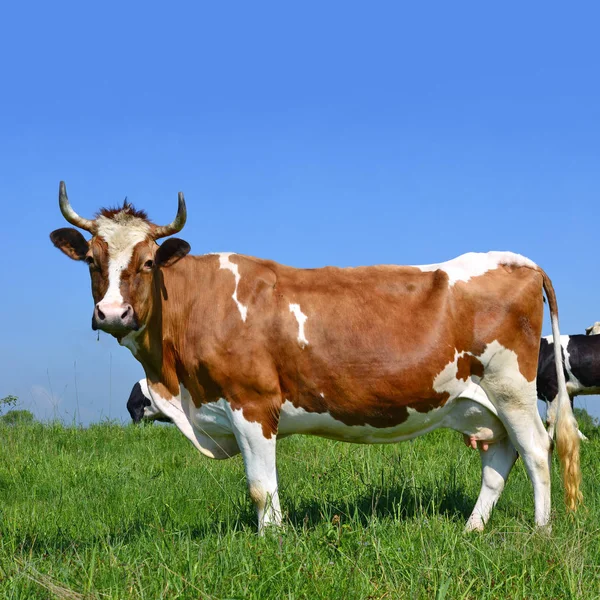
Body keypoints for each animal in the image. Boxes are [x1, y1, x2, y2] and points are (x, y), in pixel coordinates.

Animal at [51, 182, 580, 528]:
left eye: (146, 262)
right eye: (93, 261)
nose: (112, 314)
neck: (178, 388)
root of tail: (516, 260)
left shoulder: (252, 404)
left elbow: (261, 489)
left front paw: (271, 545)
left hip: (511, 389)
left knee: (537, 450)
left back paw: (540, 531)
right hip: (481, 404)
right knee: (500, 458)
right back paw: (472, 530)